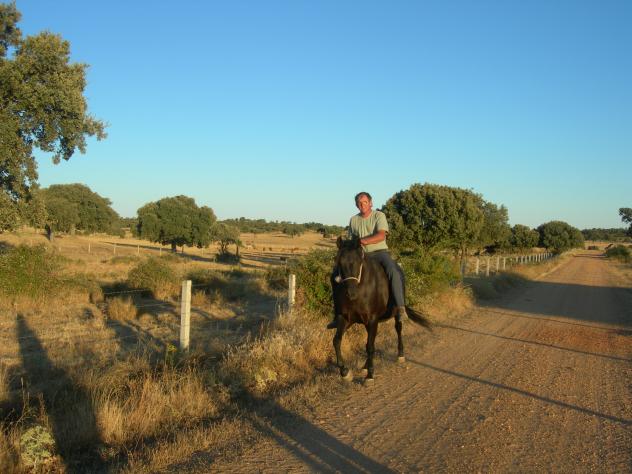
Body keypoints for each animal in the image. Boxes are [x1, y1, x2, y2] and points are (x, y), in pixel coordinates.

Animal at [331, 236, 432, 383]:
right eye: (339, 262)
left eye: (358, 261)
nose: (351, 293)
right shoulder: (345, 318)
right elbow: (337, 341)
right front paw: (345, 372)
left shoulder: (373, 319)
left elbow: (370, 346)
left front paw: (370, 375)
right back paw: (365, 366)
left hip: (395, 312)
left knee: (398, 329)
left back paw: (400, 355)